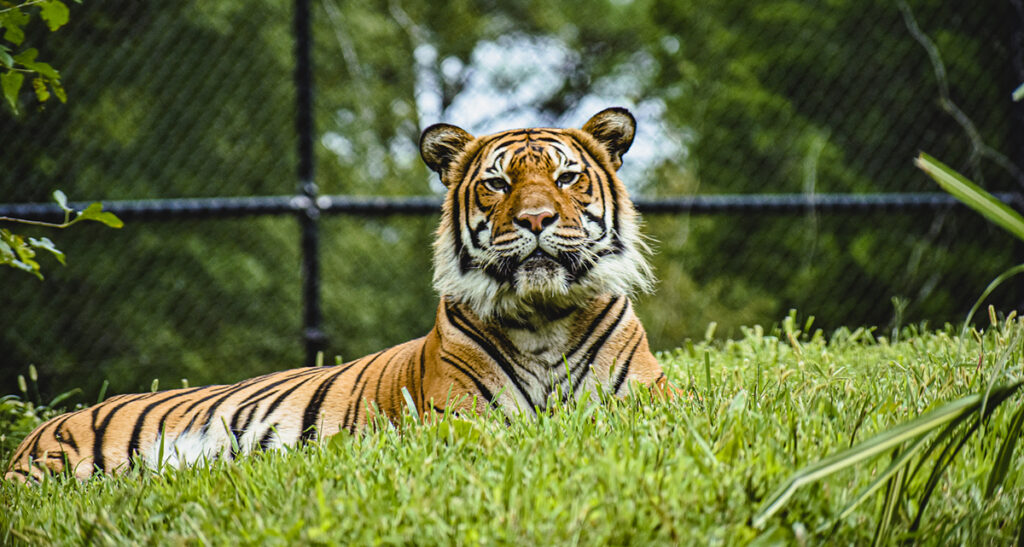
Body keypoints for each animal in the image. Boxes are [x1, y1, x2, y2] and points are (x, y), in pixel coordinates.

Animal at [5, 107, 679, 482]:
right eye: (496, 183)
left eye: (566, 177)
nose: (535, 219)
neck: (543, 318)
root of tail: (33, 435)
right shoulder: (456, 419)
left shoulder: (653, 400)